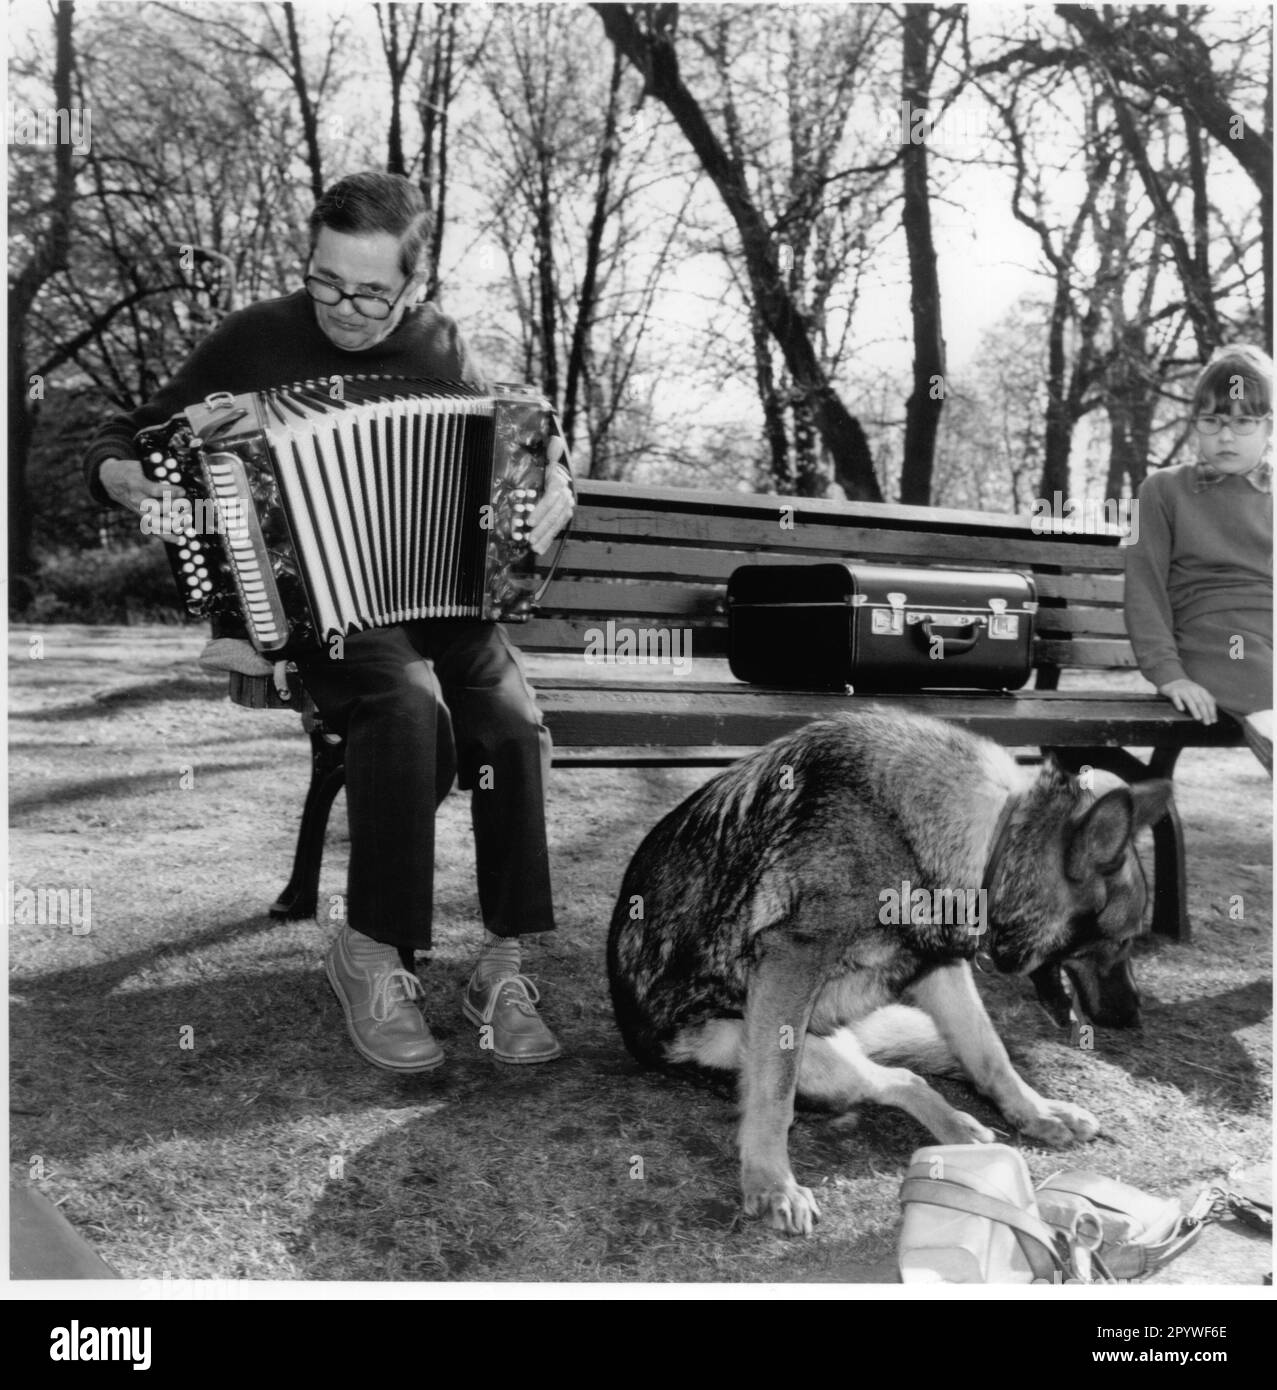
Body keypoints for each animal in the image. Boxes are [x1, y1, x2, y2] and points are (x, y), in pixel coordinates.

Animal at [603, 711, 1172, 1234]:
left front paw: (1035, 1112)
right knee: (878, 1079)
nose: (1135, 1017)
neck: (990, 837)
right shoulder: (792, 964)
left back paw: (959, 1125)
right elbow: (773, 1097)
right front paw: (772, 1183)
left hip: (830, 1055)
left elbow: (988, 1052)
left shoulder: (936, 965)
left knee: (904, 1076)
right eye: (1122, 943)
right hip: (765, 1047)